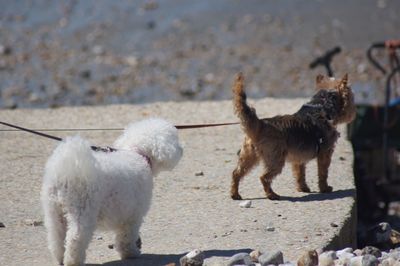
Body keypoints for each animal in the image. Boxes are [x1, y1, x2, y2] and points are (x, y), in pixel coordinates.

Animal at [41, 119, 183, 266]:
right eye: (174, 139)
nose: (181, 150)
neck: (137, 153)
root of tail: (68, 172)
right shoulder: (133, 216)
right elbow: (127, 237)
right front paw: (130, 253)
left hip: (54, 210)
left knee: (56, 235)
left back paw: (60, 258)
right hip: (83, 210)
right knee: (76, 237)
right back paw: (73, 261)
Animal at [231, 72, 356, 200]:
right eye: (351, 97)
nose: (354, 111)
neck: (320, 107)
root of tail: (260, 124)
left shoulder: (299, 157)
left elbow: (300, 173)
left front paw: (303, 188)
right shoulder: (325, 153)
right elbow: (323, 173)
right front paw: (325, 189)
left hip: (249, 156)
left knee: (236, 173)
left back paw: (235, 194)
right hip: (276, 159)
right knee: (264, 177)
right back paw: (271, 194)